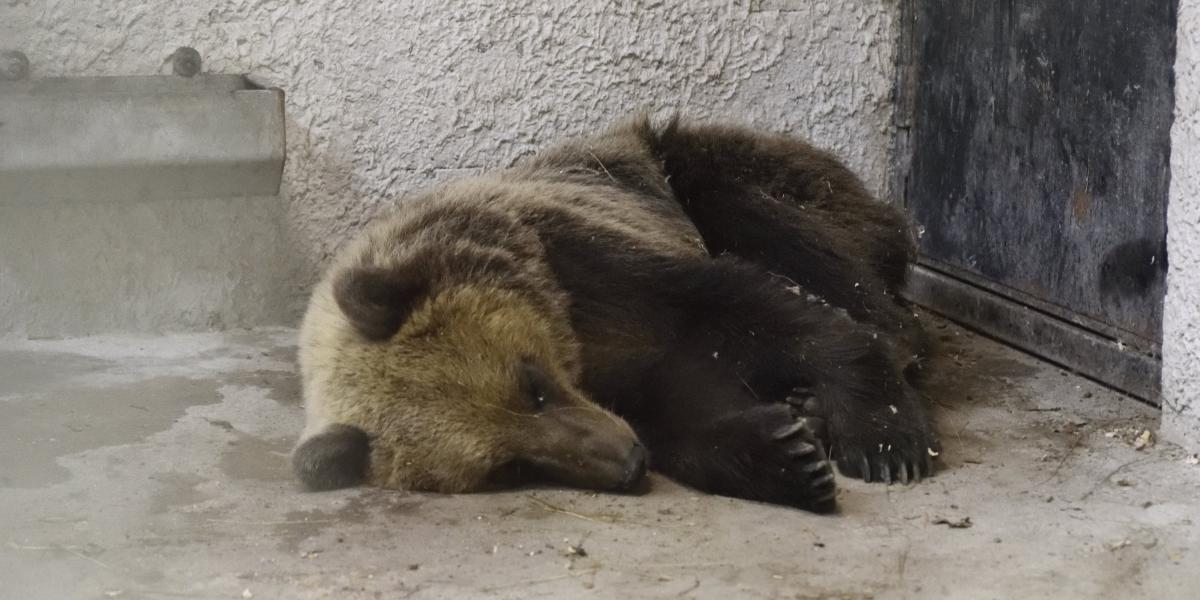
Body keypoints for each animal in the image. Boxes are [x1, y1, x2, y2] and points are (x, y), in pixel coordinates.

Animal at [290, 114, 936, 513]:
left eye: (532, 384)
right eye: (509, 468)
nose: (628, 463)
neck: (571, 337)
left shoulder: (590, 262)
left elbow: (749, 308)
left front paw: (882, 440)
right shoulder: (619, 371)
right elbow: (683, 405)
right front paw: (789, 455)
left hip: (722, 174)